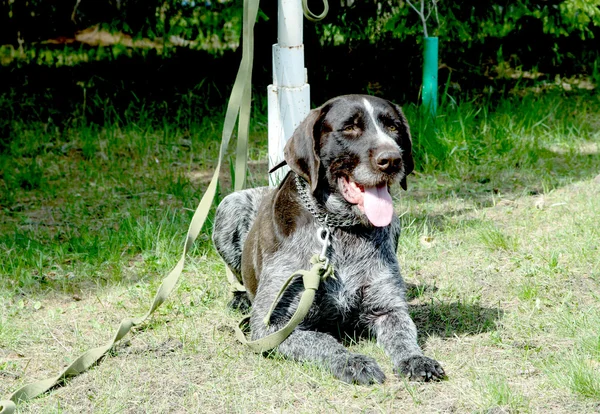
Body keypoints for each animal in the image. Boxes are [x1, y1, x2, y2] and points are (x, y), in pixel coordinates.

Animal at [214, 94, 446, 384]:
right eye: (349, 128)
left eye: (393, 127)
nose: (392, 160)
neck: (340, 228)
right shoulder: (271, 326)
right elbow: (322, 340)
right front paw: (353, 361)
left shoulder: (388, 308)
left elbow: (403, 334)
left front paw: (415, 359)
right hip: (229, 204)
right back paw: (241, 297)